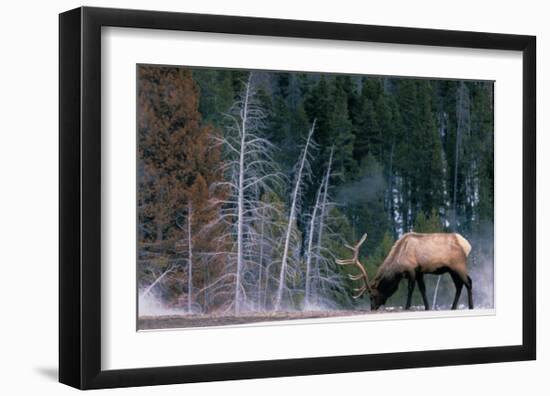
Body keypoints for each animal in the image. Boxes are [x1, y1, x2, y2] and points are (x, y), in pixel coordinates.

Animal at [336, 232, 474, 310]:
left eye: (372, 296)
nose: (372, 308)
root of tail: (467, 245)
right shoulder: (419, 272)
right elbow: (422, 289)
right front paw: (427, 307)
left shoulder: (412, 270)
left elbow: (410, 289)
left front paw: (407, 307)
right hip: (452, 270)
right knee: (459, 286)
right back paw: (453, 307)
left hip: (459, 265)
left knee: (468, 282)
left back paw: (471, 306)